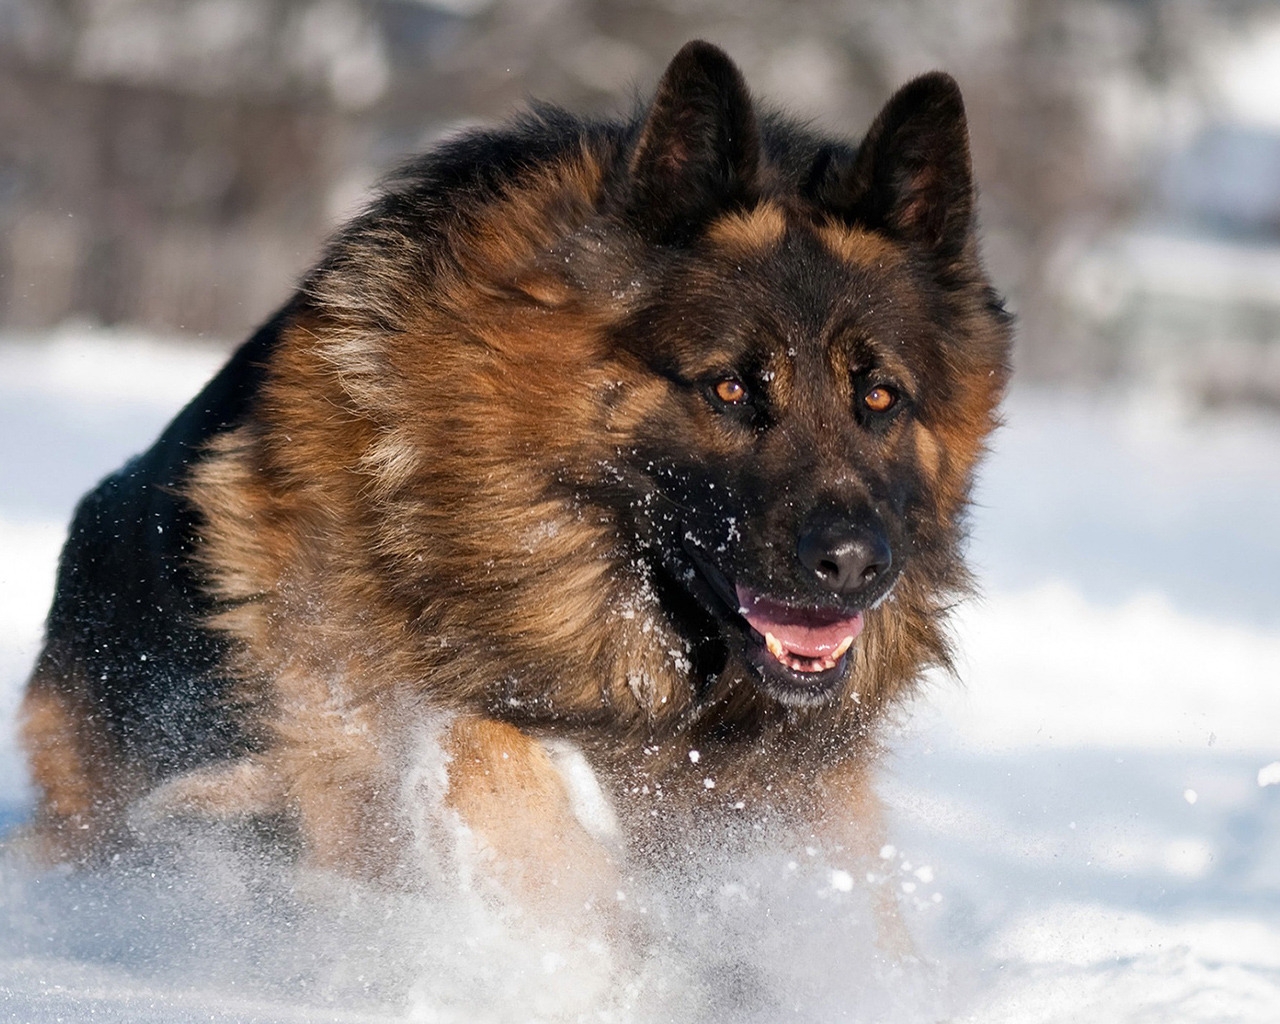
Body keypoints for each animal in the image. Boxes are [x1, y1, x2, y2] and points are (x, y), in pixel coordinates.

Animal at [17, 40, 1008, 936]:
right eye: (730, 389)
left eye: (879, 397)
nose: (854, 566)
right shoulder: (360, 721)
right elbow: (494, 764)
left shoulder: (797, 800)